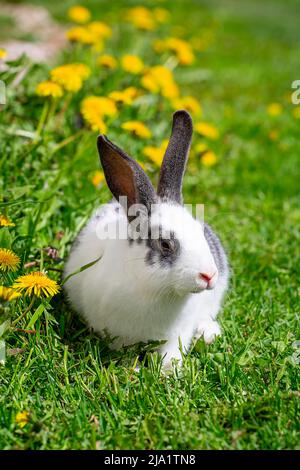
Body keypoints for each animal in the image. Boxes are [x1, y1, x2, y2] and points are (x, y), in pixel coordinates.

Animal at [64, 109, 229, 368]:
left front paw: (168, 371)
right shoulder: (116, 335)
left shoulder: (178, 333)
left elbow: (172, 352)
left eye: (200, 230)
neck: (158, 291)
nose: (209, 275)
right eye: (165, 244)